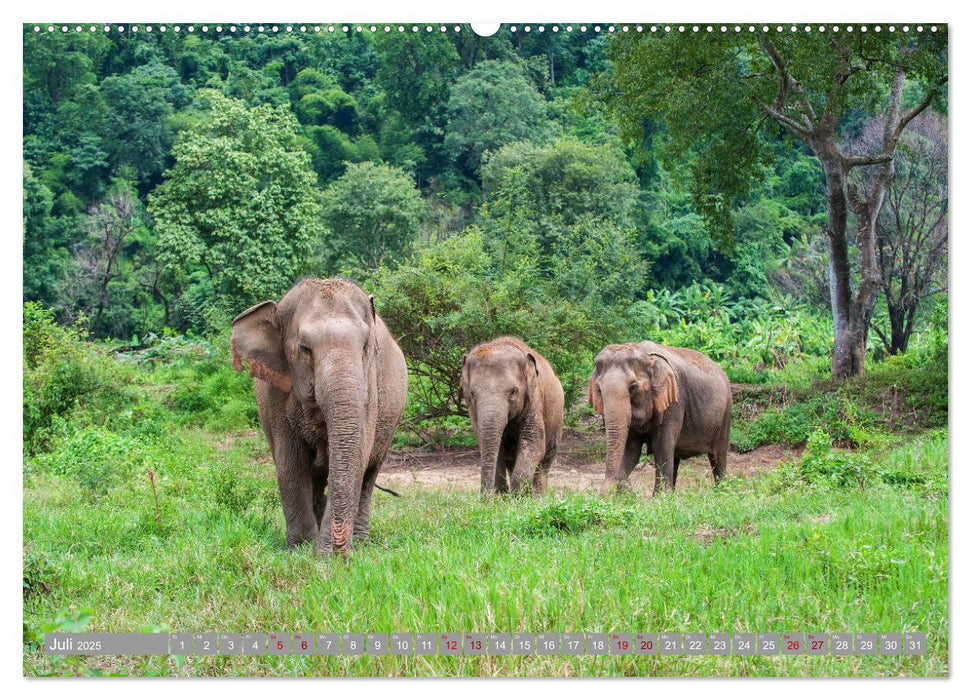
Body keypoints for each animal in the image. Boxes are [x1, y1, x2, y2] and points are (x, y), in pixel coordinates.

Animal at [231, 276, 406, 556]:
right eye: (304, 348)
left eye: (366, 345)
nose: (337, 557)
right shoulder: (273, 392)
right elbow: (290, 462)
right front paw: (302, 549)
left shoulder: (370, 387)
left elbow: (357, 458)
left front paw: (324, 554)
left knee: (368, 476)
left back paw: (361, 541)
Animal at [462, 336, 564, 494]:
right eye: (472, 393)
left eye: (513, 392)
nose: (484, 497)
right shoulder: (473, 413)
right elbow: (492, 447)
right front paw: (502, 497)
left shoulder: (534, 399)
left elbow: (533, 443)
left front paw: (520, 496)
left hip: (557, 421)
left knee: (544, 462)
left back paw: (539, 496)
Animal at [588, 342, 732, 494]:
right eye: (599, 389)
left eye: (633, 387)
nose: (604, 492)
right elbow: (631, 450)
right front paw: (626, 490)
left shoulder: (674, 402)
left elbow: (661, 445)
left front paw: (659, 496)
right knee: (675, 456)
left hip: (726, 415)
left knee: (718, 455)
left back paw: (722, 490)